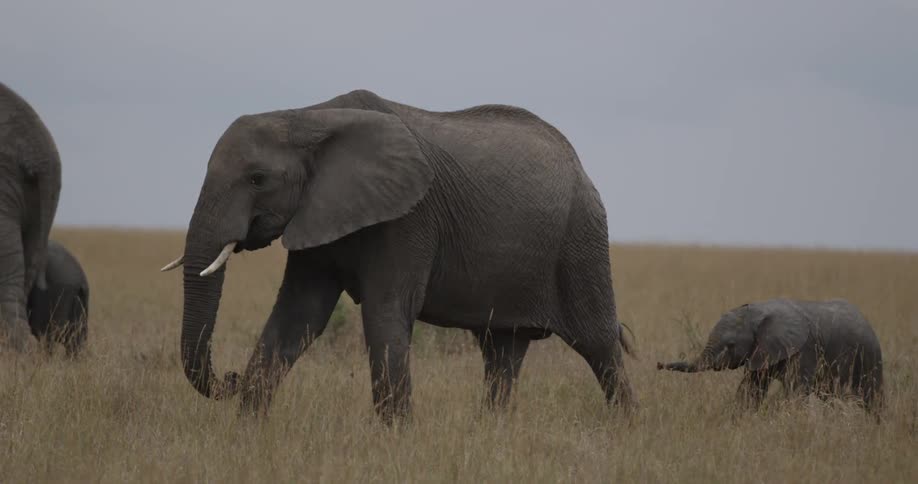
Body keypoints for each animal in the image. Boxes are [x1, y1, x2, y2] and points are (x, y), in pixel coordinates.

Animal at [162, 89, 635, 422]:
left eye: (257, 179)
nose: (229, 377)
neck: (308, 117)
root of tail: (581, 167)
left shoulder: (409, 217)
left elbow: (385, 312)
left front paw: (396, 437)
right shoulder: (317, 212)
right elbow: (299, 315)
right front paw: (248, 428)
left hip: (582, 237)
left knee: (598, 342)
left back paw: (625, 427)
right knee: (502, 350)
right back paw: (491, 431)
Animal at [658, 298, 884, 414]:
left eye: (730, 345)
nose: (658, 364)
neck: (760, 313)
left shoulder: (805, 350)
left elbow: (795, 390)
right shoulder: (762, 350)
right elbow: (751, 387)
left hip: (870, 356)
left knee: (872, 396)